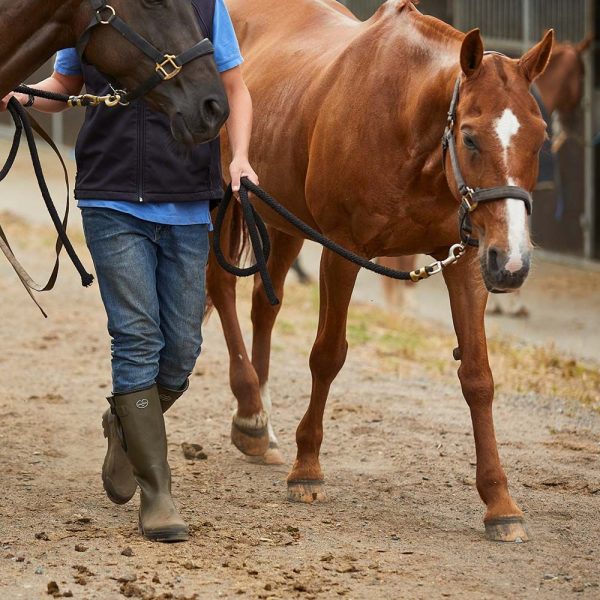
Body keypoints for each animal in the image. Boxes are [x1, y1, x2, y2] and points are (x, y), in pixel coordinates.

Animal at [207, 0, 552, 540]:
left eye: (539, 138)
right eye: (470, 138)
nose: (513, 261)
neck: (408, 126)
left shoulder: (466, 260)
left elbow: (478, 377)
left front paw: (500, 502)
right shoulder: (341, 252)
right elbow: (327, 355)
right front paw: (307, 470)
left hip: (280, 219)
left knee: (265, 303)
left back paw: (257, 424)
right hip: (225, 203)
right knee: (221, 287)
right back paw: (250, 409)